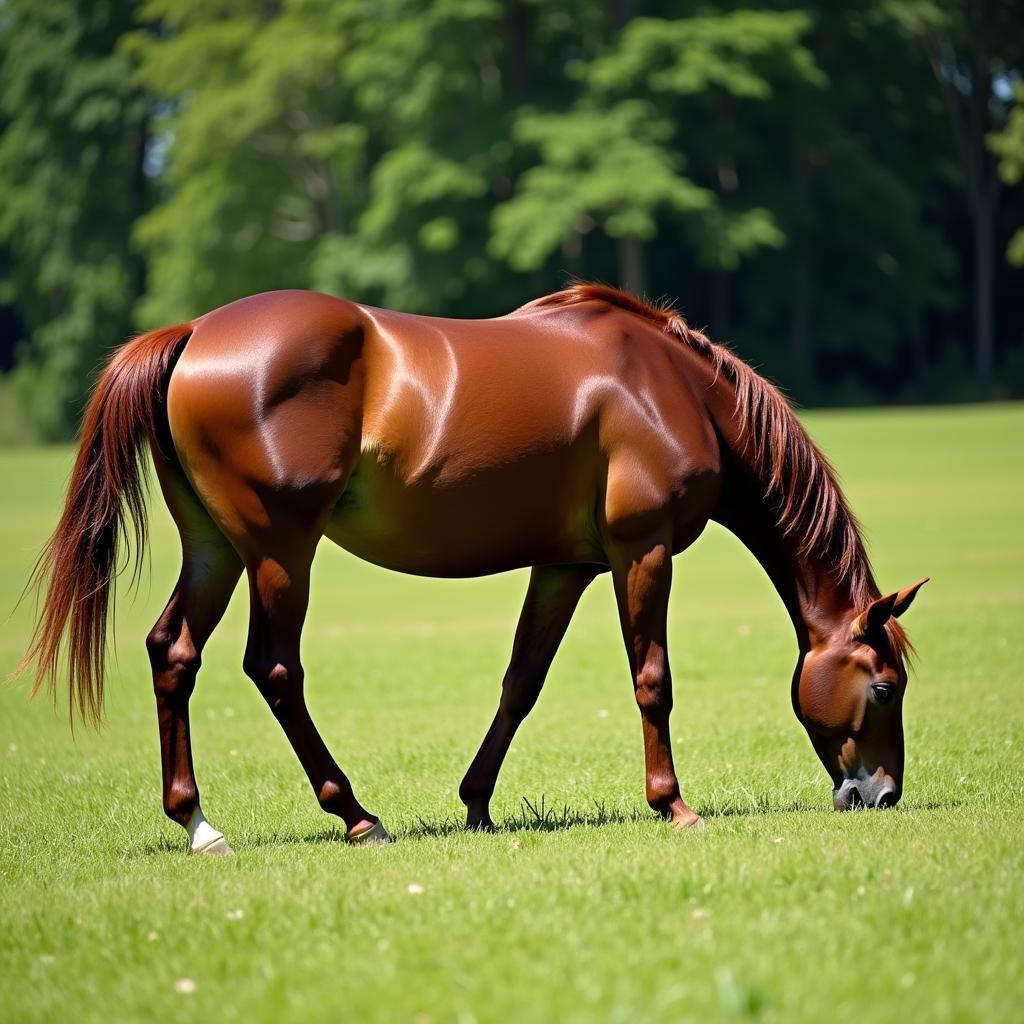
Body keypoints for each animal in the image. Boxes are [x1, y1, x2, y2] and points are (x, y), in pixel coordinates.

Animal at [16, 284, 929, 851]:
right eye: (886, 686)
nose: (883, 795)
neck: (671, 386)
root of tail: (193, 335)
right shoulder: (642, 551)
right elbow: (652, 680)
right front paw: (673, 804)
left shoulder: (565, 566)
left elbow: (521, 682)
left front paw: (477, 806)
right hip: (278, 551)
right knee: (273, 668)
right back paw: (354, 814)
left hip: (215, 549)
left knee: (174, 653)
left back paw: (198, 823)